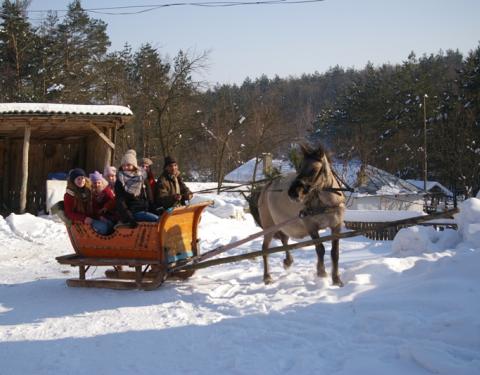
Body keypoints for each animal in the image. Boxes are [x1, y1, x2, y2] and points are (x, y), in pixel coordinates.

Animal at [255, 145, 344, 288]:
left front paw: (336, 279)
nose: (292, 193)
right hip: (270, 226)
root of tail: (268, 185)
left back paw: (288, 261)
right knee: (265, 249)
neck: (326, 203)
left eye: (314, 169)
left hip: (283, 224)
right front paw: (321, 272)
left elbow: (334, 253)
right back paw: (267, 277)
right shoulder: (311, 226)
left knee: (284, 240)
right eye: (300, 167)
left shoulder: (336, 226)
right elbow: (320, 249)